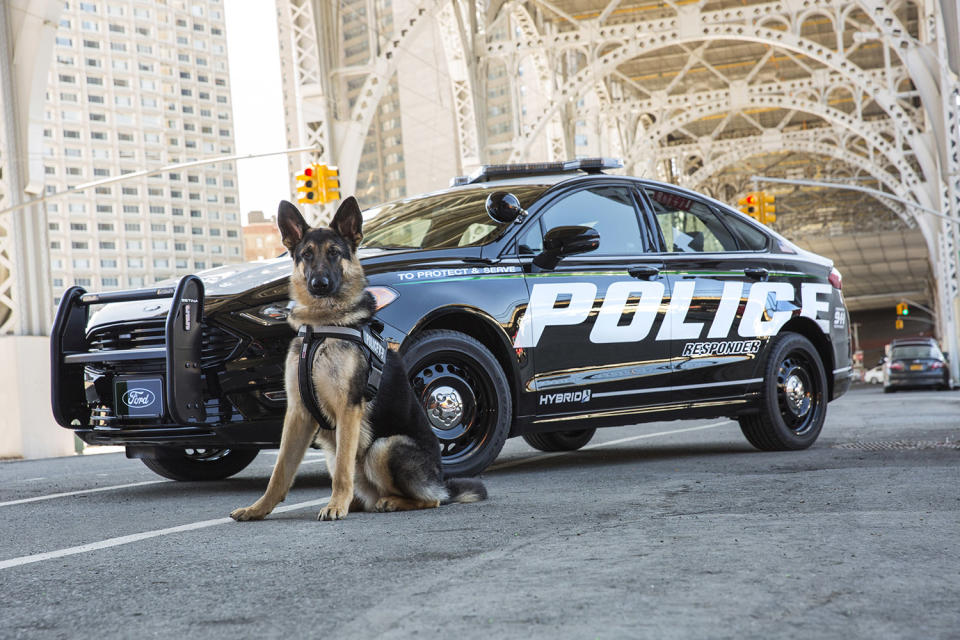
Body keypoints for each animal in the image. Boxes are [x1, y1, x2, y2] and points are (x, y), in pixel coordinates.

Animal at [231, 199, 488, 520]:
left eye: (334, 253)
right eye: (306, 255)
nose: (319, 284)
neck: (322, 327)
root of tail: (441, 482)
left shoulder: (348, 409)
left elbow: (343, 468)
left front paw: (335, 506)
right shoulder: (297, 414)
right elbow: (280, 471)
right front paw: (259, 508)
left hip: (384, 446)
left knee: (429, 499)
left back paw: (386, 501)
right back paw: (356, 503)